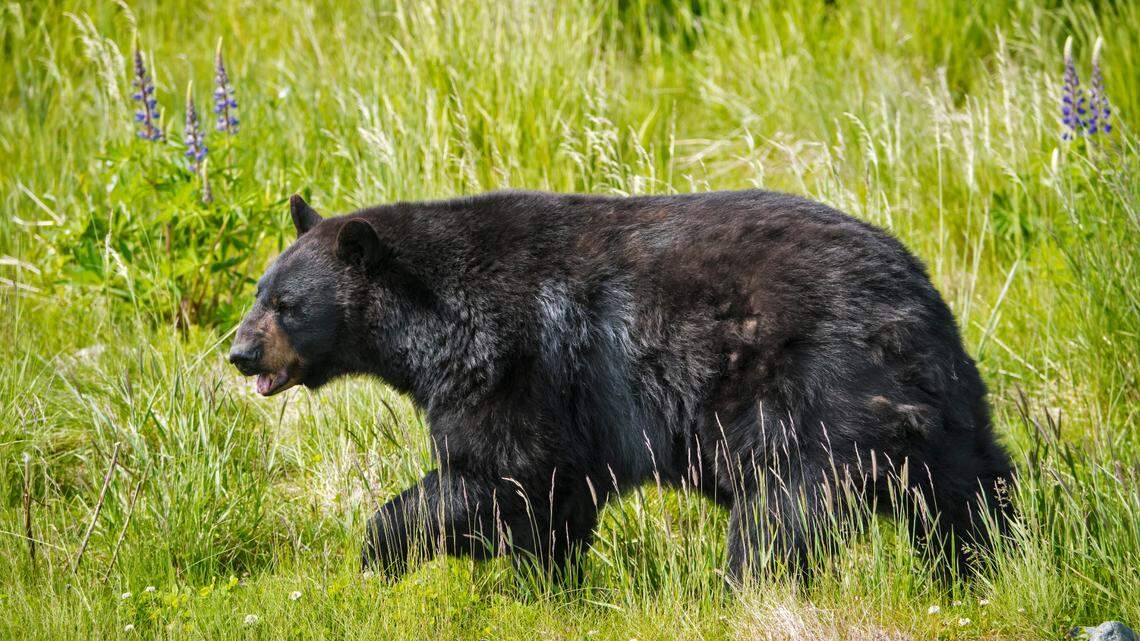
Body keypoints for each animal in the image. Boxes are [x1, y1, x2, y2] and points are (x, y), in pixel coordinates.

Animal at [228, 189, 1013, 584]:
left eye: (288, 304)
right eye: (258, 290)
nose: (238, 351)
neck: (429, 314)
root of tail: (909, 294)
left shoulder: (513, 360)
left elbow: (501, 472)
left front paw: (376, 558)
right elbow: (555, 501)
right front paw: (553, 588)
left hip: (815, 392)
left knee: (782, 512)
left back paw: (744, 589)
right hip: (935, 396)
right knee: (968, 486)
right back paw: (988, 565)